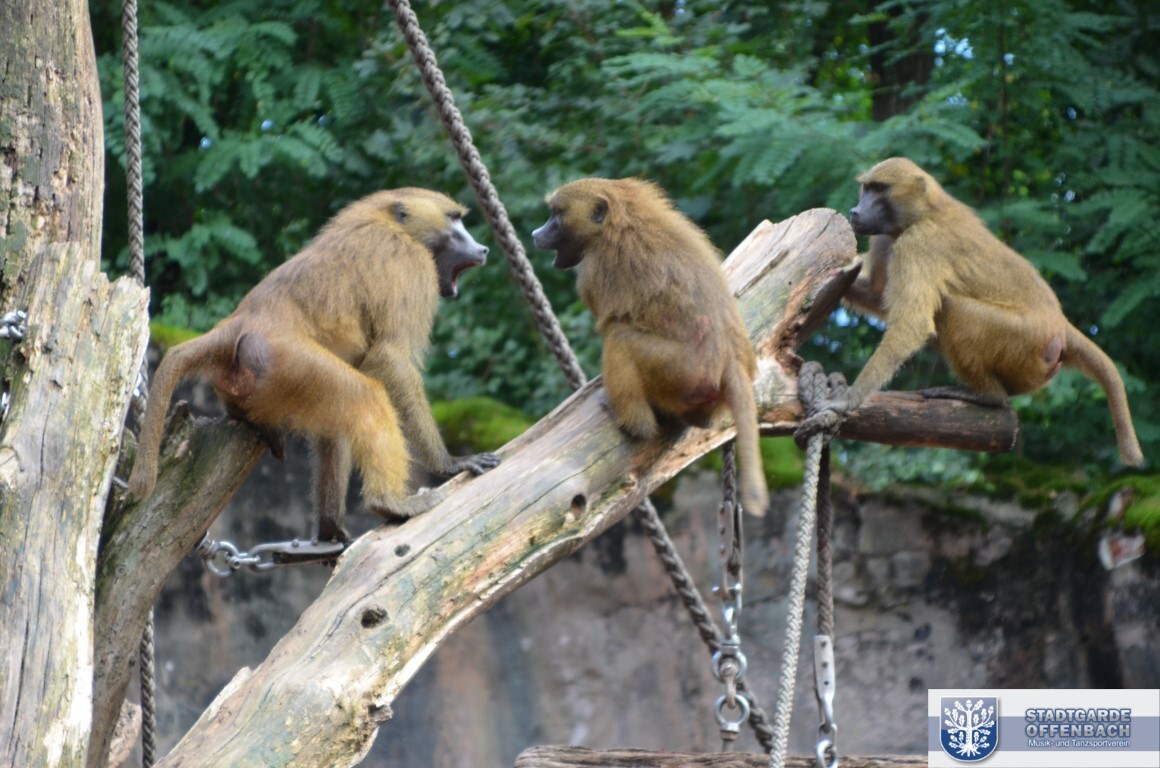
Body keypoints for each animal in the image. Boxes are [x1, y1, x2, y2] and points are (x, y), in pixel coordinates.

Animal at [127, 188, 502, 541]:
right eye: (454, 219)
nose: (482, 249)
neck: (393, 225)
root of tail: (238, 323)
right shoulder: (411, 265)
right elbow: (390, 358)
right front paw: (450, 464)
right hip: (287, 361)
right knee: (366, 397)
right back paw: (389, 504)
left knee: (337, 419)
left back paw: (329, 527)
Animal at [532, 177, 770, 516]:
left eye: (556, 215)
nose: (536, 234)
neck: (618, 222)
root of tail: (730, 363)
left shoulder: (591, 271)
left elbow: (611, 323)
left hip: (681, 371)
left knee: (619, 338)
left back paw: (632, 423)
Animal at [842, 156, 1144, 466]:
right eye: (866, 188)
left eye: (879, 189)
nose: (855, 212)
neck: (923, 212)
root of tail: (1061, 324)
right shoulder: (885, 238)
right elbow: (877, 296)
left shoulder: (919, 243)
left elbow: (913, 324)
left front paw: (849, 399)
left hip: (1027, 341)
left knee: (953, 310)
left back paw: (987, 396)